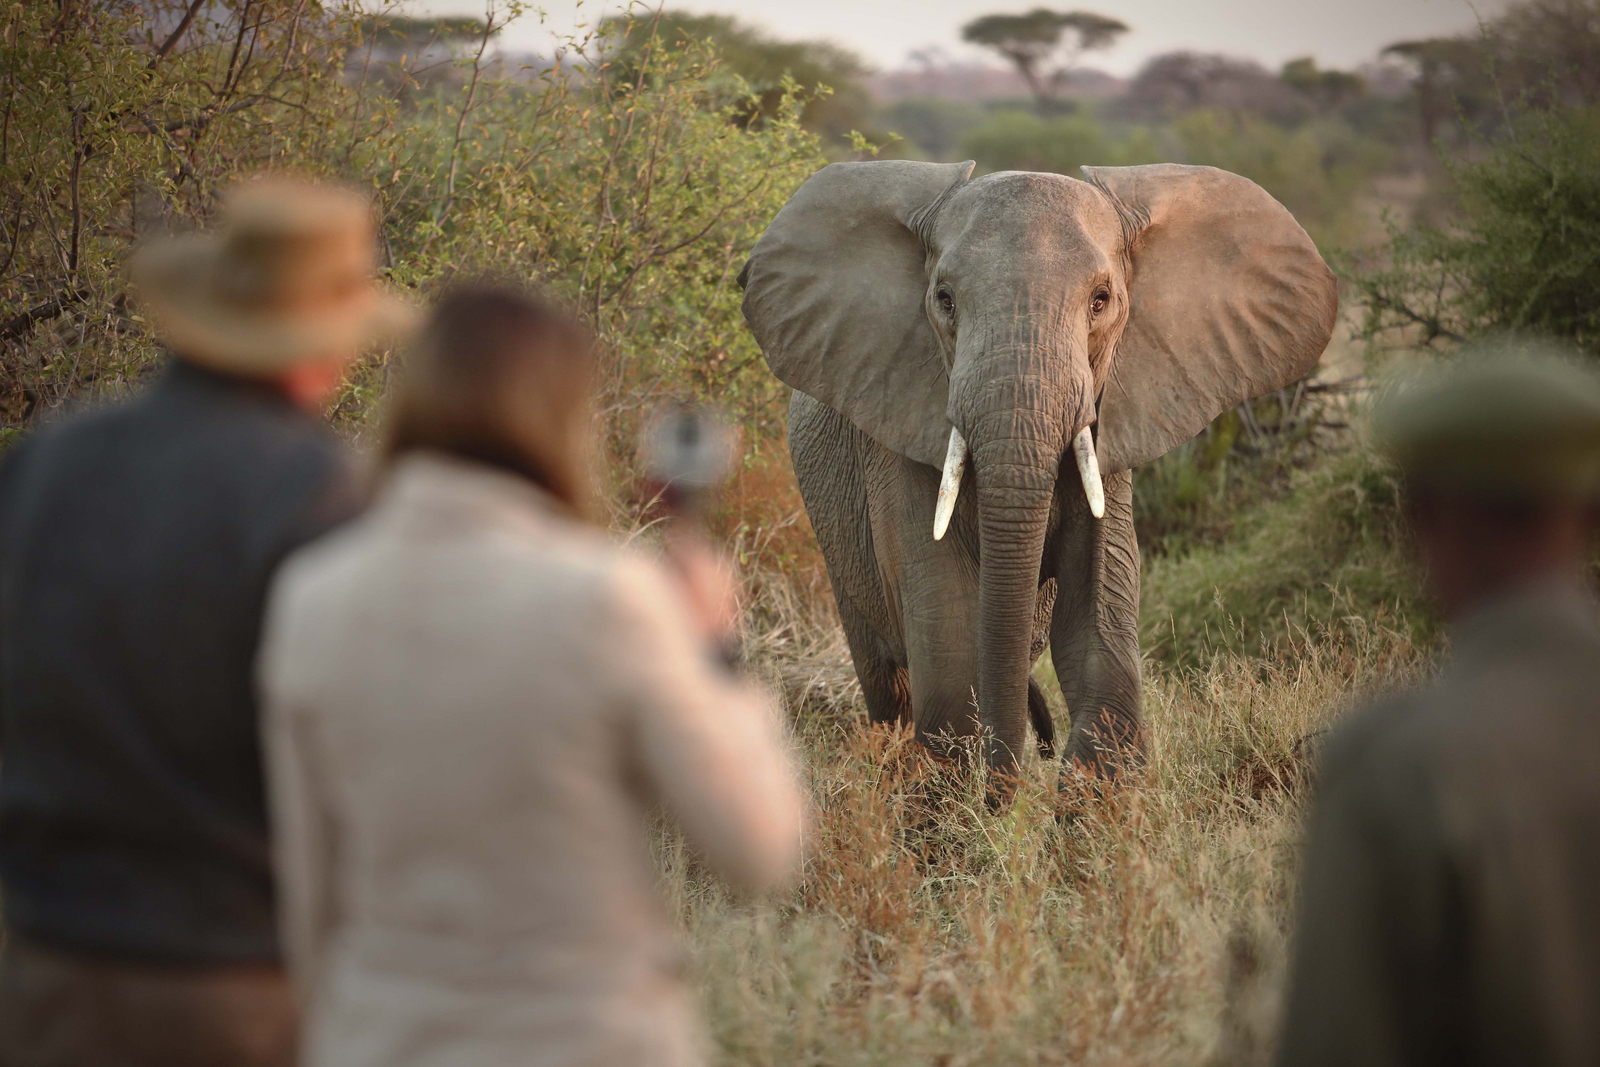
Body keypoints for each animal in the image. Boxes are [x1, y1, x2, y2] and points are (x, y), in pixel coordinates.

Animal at [738, 160, 1337, 788]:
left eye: (1101, 300)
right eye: (944, 300)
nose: (1014, 781)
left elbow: (1099, 629)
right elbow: (950, 651)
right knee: (889, 684)